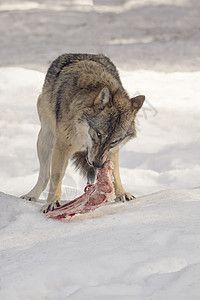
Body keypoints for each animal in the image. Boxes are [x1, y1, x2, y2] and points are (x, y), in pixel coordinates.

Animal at [21, 54, 145, 213]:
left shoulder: (112, 151)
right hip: (45, 139)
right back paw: (31, 196)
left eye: (113, 141)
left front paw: (122, 194)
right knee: (45, 175)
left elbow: (115, 174)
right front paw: (52, 202)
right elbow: (57, 177)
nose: (97, 164)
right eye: (98, 134)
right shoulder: (62, 147)